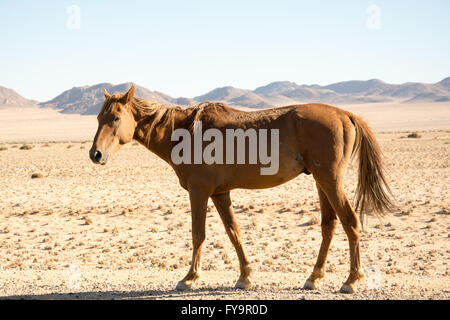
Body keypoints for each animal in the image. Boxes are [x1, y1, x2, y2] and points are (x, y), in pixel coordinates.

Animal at [89, 84, 392, 292]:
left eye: (116, 118)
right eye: (98, 118)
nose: (95, 154)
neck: (185, 132)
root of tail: (345, 114)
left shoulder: (199, 192)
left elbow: (198, 234)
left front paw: (189, 278)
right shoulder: (220, 193)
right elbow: (233, 232)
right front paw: (245, 276)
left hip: (330, 181)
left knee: (350, 222)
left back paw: (351, 280)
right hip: (321, 182)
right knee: (329, 225)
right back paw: (314, 277)